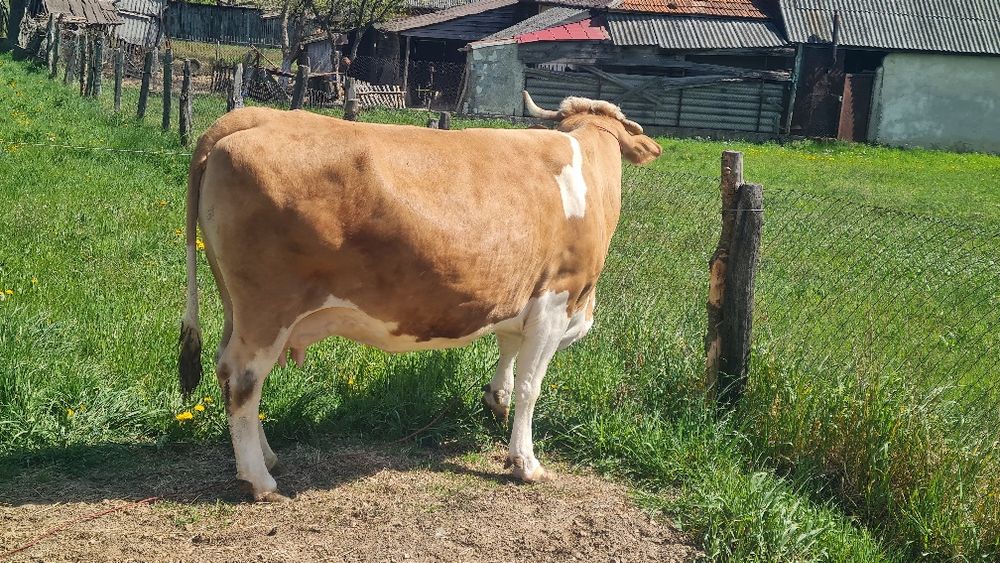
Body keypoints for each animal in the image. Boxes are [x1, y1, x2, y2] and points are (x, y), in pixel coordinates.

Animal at [178, 92, 662, 502]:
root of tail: (249, 116)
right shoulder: (556, 299)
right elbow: (531, 386)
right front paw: (525, 462)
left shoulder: (519, 296)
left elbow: (508, 355)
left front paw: (496, 402)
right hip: (266, 309)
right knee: (243, 378)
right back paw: (260, 480)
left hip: (236, 306)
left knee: (228, 373)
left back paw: (266, 456)